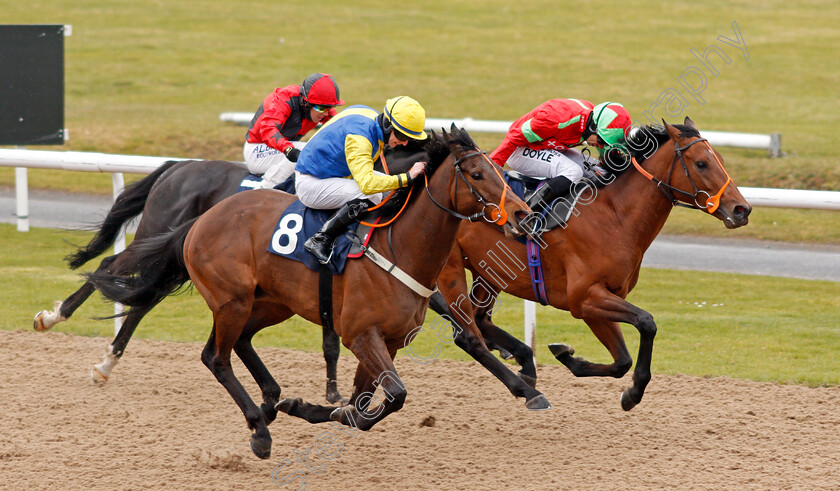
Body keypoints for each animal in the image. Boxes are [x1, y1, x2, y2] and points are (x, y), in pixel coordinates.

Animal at [87, 128, 540, 462]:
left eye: (498, 169)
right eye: (477, 174)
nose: (522, 213)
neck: (400, 248)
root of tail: (201, 220)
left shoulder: (388, 340)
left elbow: (361, 403)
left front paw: (305, 407)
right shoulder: (360, 334)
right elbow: (393, 396)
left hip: (271, 302)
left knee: (240, 342)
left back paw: (270, 401)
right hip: (232, 299)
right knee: (214, 356)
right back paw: (259, 429)